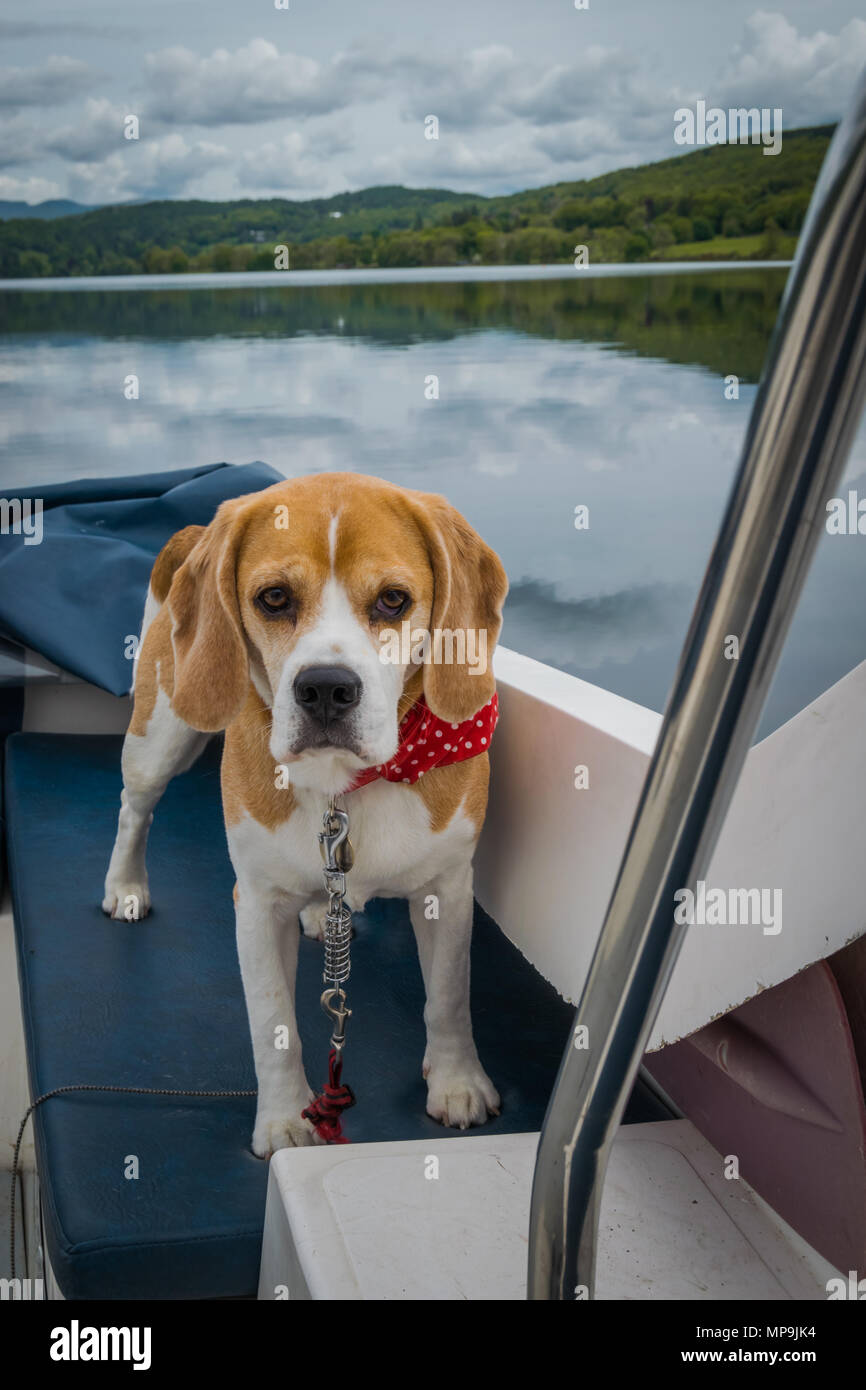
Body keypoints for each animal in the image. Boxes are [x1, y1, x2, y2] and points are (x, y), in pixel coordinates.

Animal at [103, 472, 508, 1156]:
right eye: (273, 598)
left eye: (394, 601)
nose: (325, 688)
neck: (344, 787)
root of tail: (195, 532)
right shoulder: (257, 903)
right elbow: (273, 1023)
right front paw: (286, 1121)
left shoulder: (448, 888)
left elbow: (451, 995)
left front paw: (456, 1082)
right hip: (162, 735)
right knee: (135, 810)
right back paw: (126, 886)